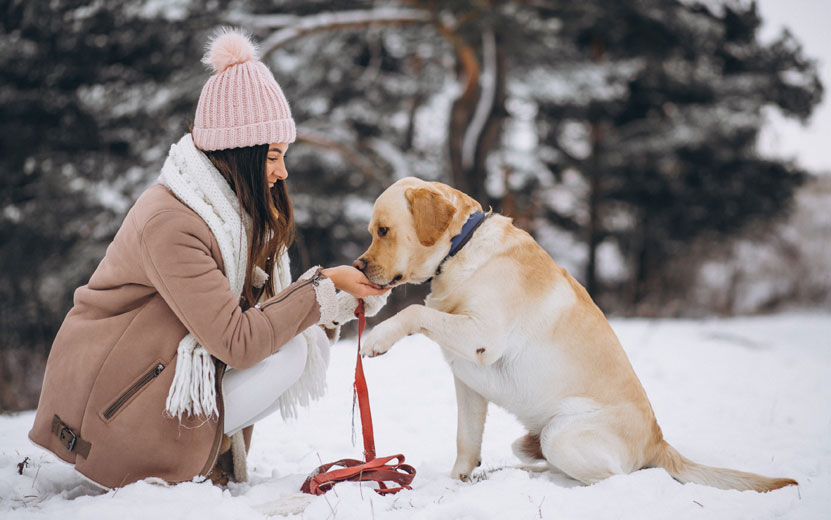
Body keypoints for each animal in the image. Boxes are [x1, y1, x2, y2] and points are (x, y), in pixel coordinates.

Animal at [356, 178, 800, 492]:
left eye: (384, 230)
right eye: (372, 231)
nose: (358, 267)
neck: (459, 251)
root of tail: (659, 442)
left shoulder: (483, 336)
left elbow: (415, 311)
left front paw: (377, 339)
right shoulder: (468, 384)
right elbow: (466, 441)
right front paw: (456, 483)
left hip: (560, 435)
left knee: (613, 479)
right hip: (534, 439)